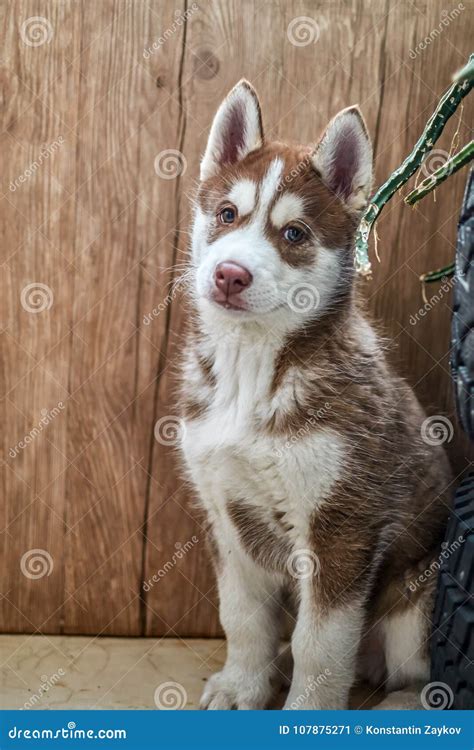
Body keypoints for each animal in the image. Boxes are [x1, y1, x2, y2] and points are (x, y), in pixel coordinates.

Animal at [181, 81, 452, 712]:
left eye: (294, 235)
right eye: (227, 215)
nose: (230, 274)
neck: (253, 373)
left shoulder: (343, 525)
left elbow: (322, 644)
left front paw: (307, 712)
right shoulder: (225, 511)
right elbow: (243, 618)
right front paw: (243, 685)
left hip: (421, 586)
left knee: (415, 674)